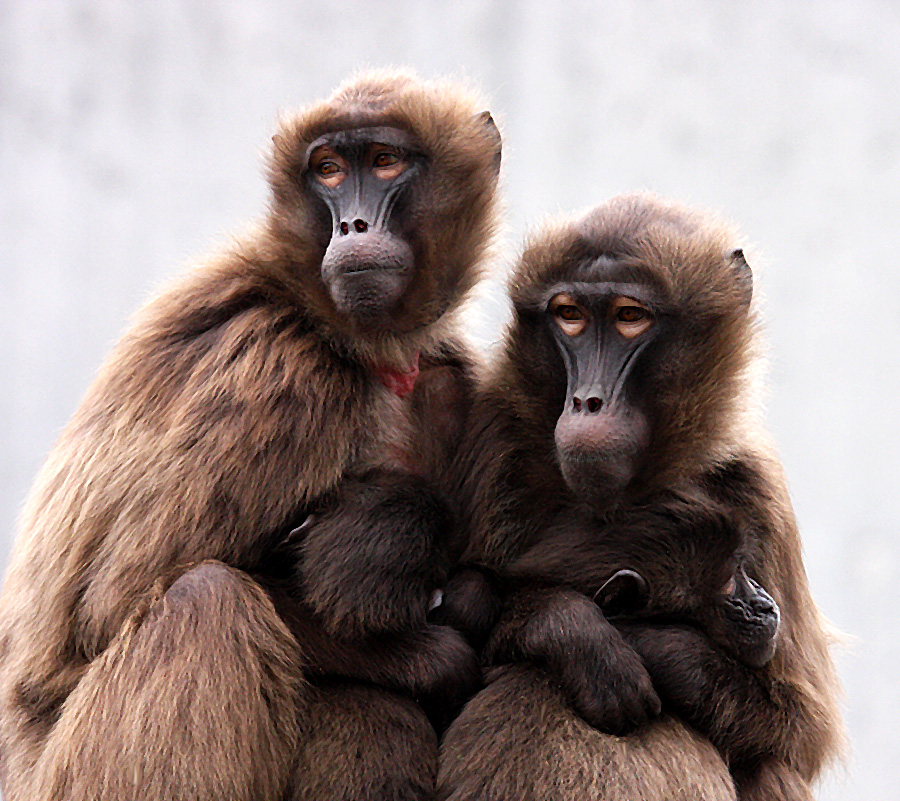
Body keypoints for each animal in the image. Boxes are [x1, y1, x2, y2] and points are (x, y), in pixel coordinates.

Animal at [436, 192, 844, 800]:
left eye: (630, 317)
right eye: (570, 315)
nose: (587, 401)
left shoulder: (757, 489)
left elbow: (801, 726)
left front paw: (650, 644)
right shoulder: (495, 438)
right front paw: (571, 630)